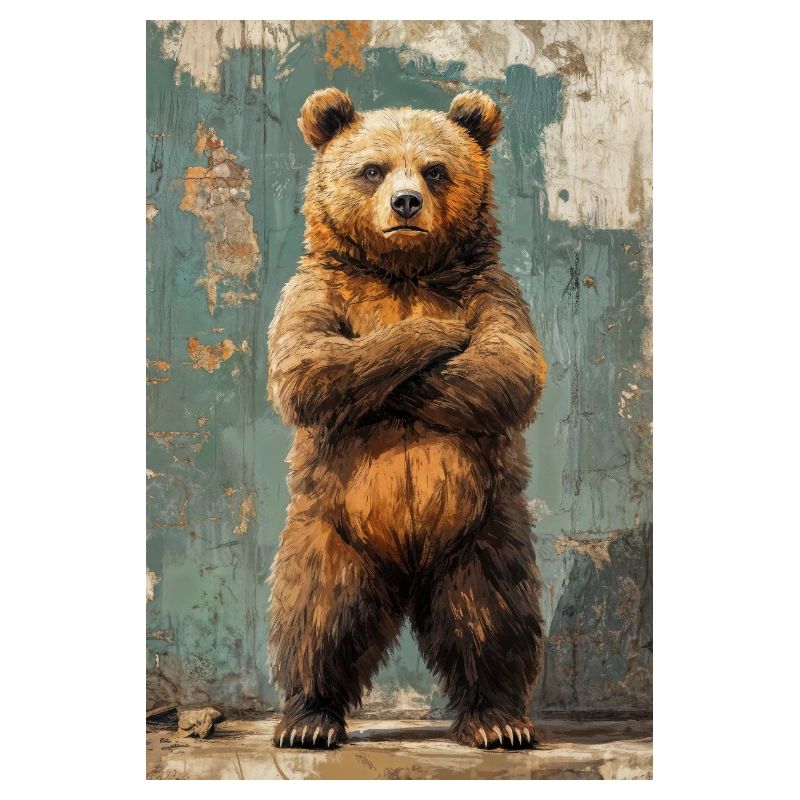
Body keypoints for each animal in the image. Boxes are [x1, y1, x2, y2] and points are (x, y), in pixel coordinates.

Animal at [266, 87, 547, 750]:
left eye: (434, 169)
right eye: (372, 168)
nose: (406, 202)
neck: (403, 269)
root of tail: (409, 569)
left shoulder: (494, 290)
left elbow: (507, 364)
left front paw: (448, 336)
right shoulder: (316, 290)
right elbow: (307, 363)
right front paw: (431, 333)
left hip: (483, 531)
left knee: (491, 615)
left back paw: (497, 719)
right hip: (330, 530)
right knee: (317, 614)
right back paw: (308, 718)